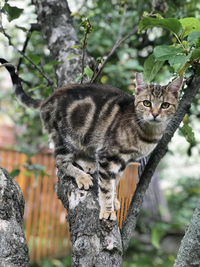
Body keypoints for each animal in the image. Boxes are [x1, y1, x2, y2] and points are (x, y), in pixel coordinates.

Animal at [0, 59, 182, 221]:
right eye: (147, 103)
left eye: (165, 105)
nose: (155, 114)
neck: (147, 134)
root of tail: (49, 99)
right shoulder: (108, 156)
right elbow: (107, 187)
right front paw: (107, 210)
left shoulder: (124, 161)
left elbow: (115, 182)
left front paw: (114, 200)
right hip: (65, 137)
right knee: (60, 160)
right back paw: (82, 176)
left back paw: (88, 164)